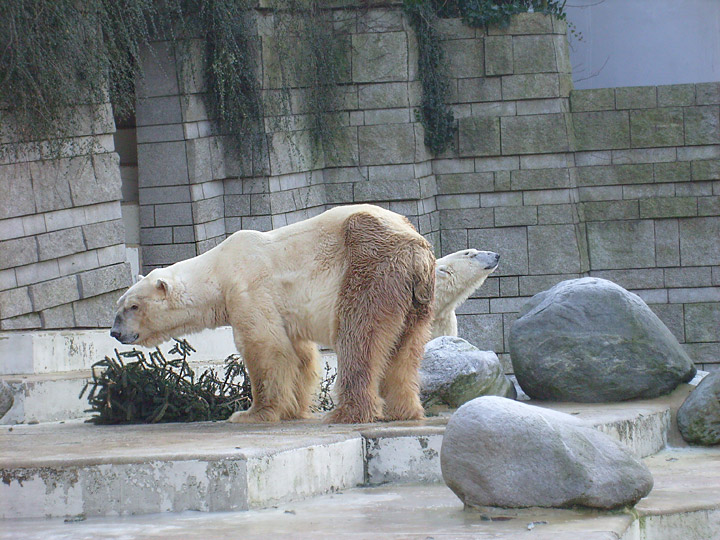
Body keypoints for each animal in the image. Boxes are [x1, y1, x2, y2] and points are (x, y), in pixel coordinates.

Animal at [108, 205, 434, 424]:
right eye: (118, 305)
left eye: (132, 306)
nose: (115, 332)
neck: (218, 269)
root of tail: (416, 251)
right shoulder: (285, 310)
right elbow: (300, 356)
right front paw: (293, 409)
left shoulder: (248, 290)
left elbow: (265, 349)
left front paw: (251, 413)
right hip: (415, 300)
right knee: (405, 350)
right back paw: (404, 410)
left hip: (369, 267)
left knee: (359, 337)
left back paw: (346, 413)